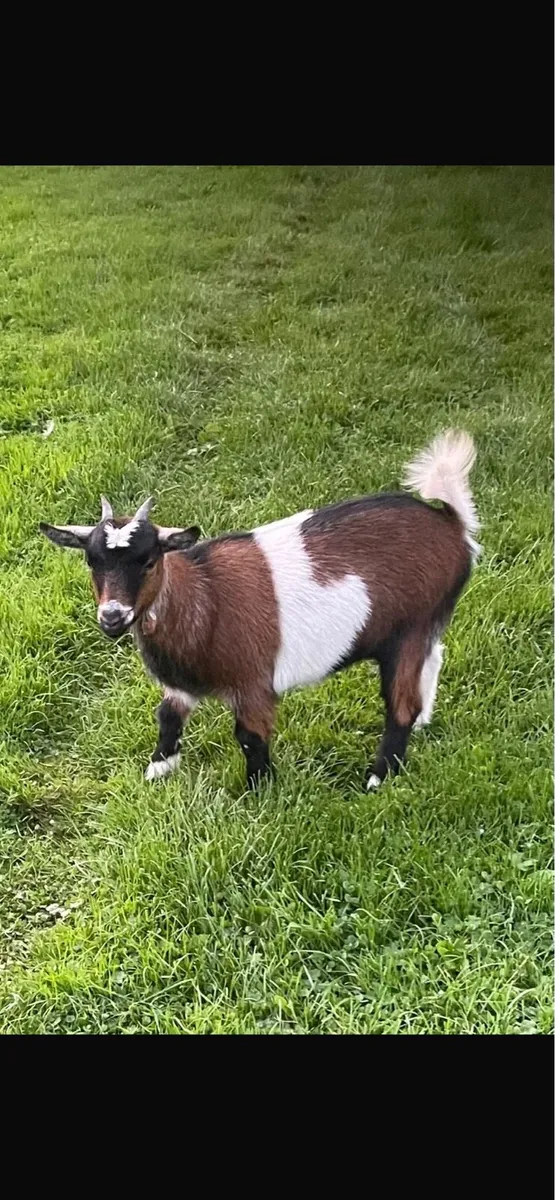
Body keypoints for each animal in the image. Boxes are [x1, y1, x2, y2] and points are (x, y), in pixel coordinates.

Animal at [40, 430, 479, 791]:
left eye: (148, 561)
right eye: (91, 561)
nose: (112, 616)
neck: (205, 598)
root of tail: (453, 524)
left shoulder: (253, 684)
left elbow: (249, 737)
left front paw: (259, 789)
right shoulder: (181, 685)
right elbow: (167, 716)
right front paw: (158, 770)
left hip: (409, 630)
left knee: (400, 706)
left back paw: (378, 777)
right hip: (426, 626)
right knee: (434, 660)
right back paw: (422, 723)